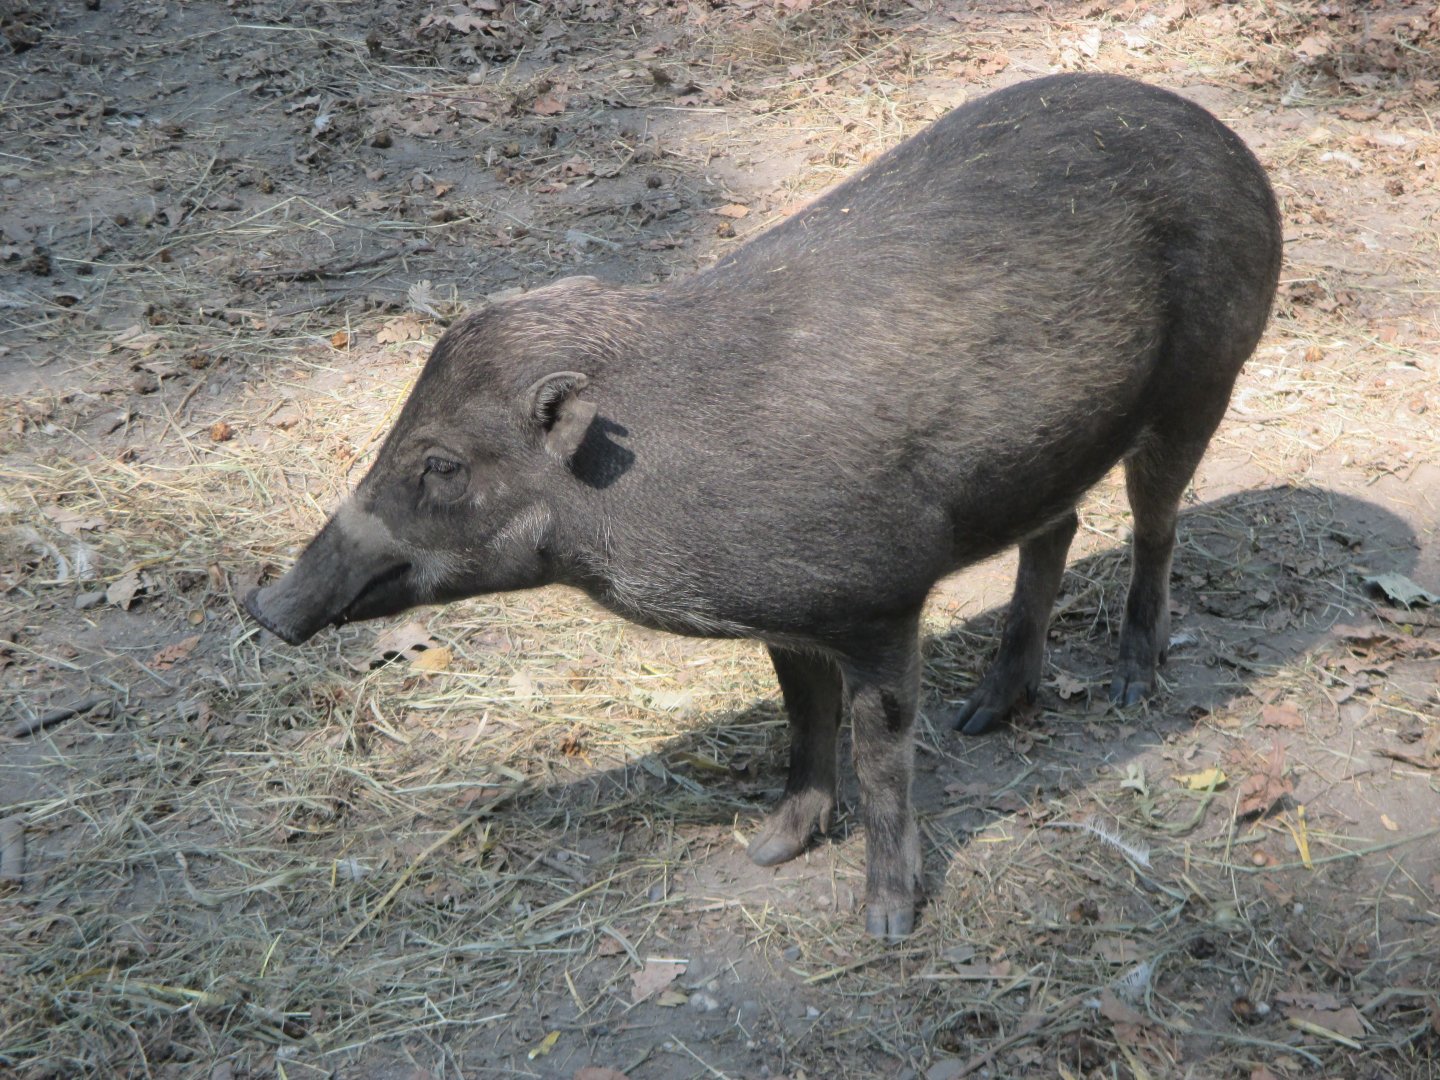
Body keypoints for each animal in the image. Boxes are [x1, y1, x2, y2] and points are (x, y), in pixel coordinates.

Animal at [246, 73, 1282, 939]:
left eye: (444, 465)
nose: (264, 607)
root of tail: (1228, 140)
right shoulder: (791, 615)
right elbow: (802, 719)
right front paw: (770, 849)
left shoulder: (878, 600)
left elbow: (881, 750)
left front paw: (886, 925)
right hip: (1049, 454)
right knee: (1058, 528)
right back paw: (985, 714)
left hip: (1206, 379)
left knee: (1156, 524)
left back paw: (1132, 685)